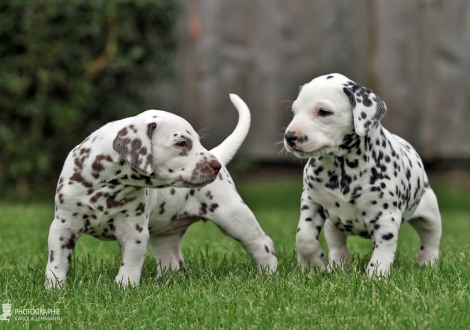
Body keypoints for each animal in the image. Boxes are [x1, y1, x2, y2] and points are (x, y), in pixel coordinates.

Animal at [45, 107, 222, 288]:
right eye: (181, 143)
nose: (217, 166)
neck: (106, 185)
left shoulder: (134, 231)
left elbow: (131, 261)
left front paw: (125, 284)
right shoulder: (63, 226)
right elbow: (57, 261)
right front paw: (54, 286)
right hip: (163, 238)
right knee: (173, 262)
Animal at [147, 94, 278, 276]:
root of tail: (216, 157)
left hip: (234, 218)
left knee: (263, 245)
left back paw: (268, 275)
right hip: (165, 233)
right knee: (171, 261)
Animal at [284, 74, 442, 276]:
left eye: (324, 112)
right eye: (295, 110)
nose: (290, 137)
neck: (342, 168)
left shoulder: (386, 218)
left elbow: (382, 253)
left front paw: (376, 276)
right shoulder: (311, 202)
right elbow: (304, 237)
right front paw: (313, 263)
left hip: (430, 215)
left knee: (430, 241)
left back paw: (428, 263)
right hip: (332, 226)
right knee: (337, 245)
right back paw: (338, 265)